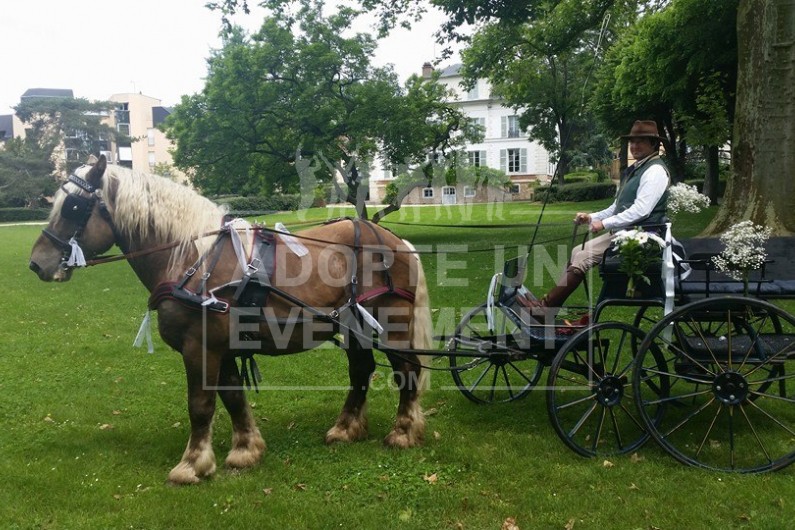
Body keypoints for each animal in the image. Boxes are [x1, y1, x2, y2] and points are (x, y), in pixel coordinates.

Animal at [29, 156, 436, 482]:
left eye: (74, 206)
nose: (37, 263)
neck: (193, 258)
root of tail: (395, 240)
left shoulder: (200, 347)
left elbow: (201, 405)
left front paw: (192, 464)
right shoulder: (221, 347)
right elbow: (233, 397)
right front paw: (245, 450)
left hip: (390, 324)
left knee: (407, 370)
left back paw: (403, 432)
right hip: (354, 328)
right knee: (361, 370)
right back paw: (346, 428)